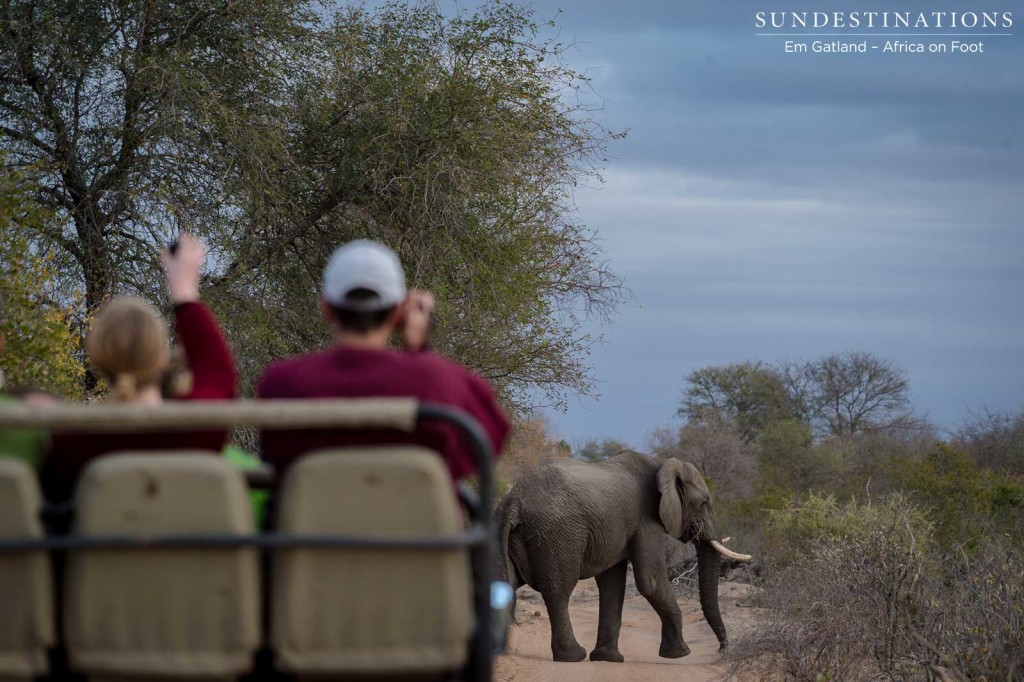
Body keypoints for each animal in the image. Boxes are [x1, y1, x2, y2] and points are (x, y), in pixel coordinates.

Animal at [491, 448, 749, 659]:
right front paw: (680, 654)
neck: (662, 463)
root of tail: (514, 499)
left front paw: (607, 658)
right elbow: (651, 581)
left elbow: (612, 584)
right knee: (559, 591)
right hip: (557, 534)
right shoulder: (646, 518)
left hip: (507, 531)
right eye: (704, 503)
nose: (722, 649)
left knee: (504, 583)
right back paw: (573, 656)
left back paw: (501, 651)